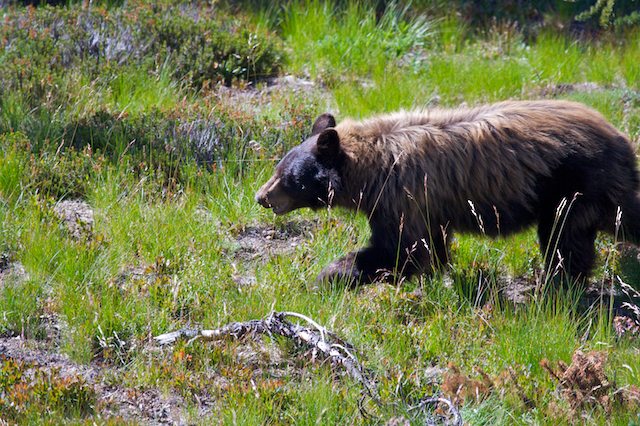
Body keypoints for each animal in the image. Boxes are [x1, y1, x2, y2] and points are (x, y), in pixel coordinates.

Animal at [255, 100, 640, 286]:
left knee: (565, 241)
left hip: (572, 187)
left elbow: (401, 250)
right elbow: (431, 246)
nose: (261, 196)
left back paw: (557, 287)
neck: (372, 167)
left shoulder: (401, 196)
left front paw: (328, 277)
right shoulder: (428, 207)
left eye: (289, 177)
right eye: (279, 168)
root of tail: (623, 142)